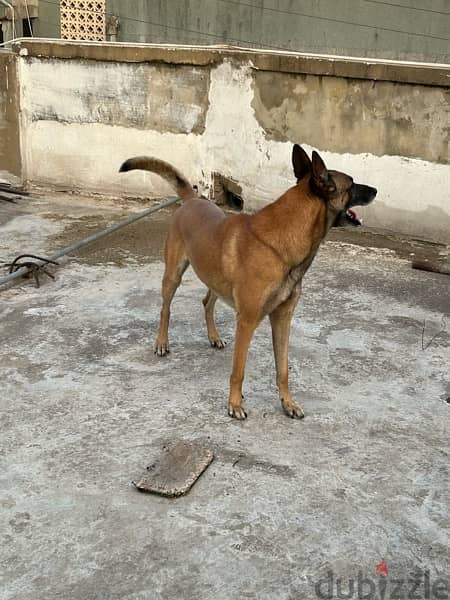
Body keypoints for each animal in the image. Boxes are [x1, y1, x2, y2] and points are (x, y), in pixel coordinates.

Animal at [119, 146, 376, 420]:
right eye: (352, 184)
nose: (376, 190)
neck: (280, 244)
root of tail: (193, 199)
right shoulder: (247, 321)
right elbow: (238, 370)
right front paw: (234, 404)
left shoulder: (283, 318)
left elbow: (283, 369)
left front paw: (288, 403)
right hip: (173, 275)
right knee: (165, 309)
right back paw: (162, 342)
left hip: (215, 278)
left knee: (207, 301)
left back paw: (214, 337)